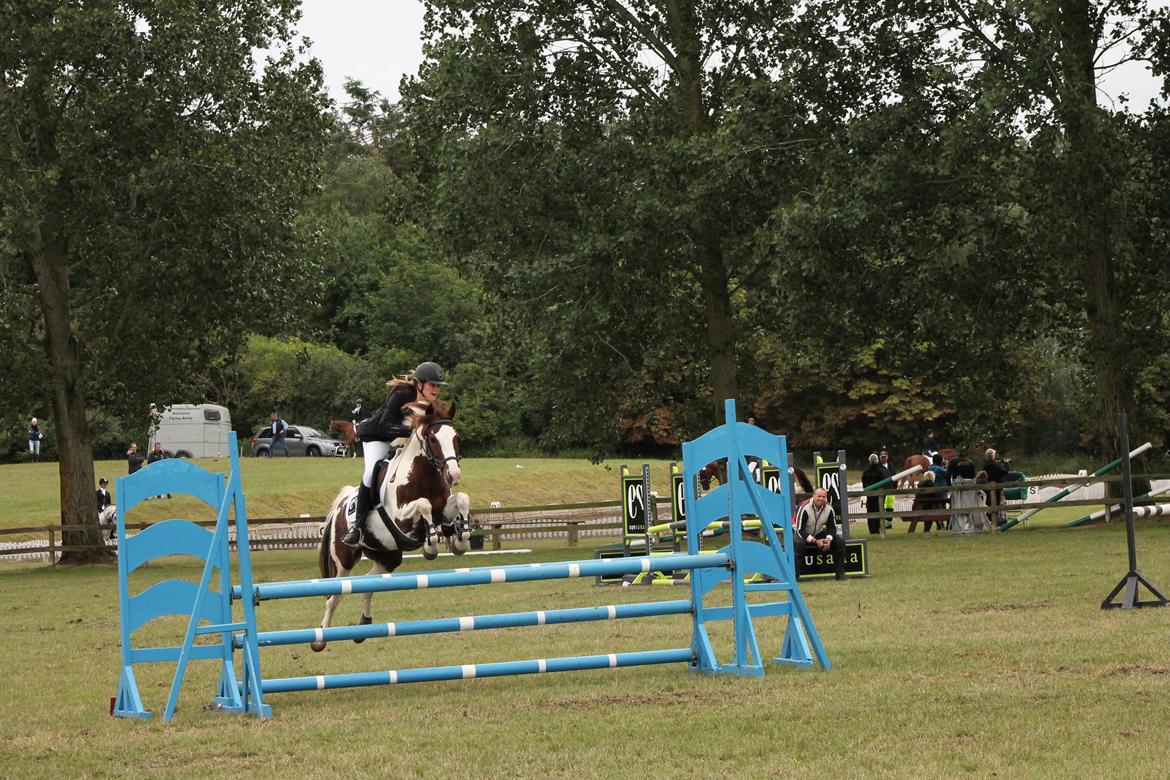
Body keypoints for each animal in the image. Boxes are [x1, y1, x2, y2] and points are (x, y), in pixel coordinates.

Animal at [315, 402, 475, 654]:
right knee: (334, 596)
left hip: (387, 556)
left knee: (368, 585)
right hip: (344, 560)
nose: (454, 475)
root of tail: (340, 505)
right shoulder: (401, 517)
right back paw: (320, 638)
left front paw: (461, 538)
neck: (424, 476)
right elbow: (423, 504)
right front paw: (431, 545)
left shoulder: (443, 509)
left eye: (456, 437)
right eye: (432, 439)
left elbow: (461, 499)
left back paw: (364, 626)